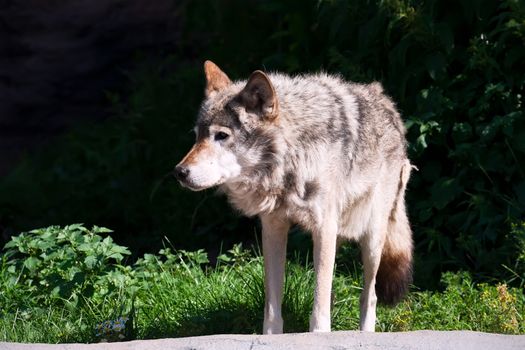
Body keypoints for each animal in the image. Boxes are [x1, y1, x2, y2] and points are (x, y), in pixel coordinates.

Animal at [176, 60, 414, 334]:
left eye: (222, 136)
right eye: (197, 136)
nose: (179, 172)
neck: (292, 158)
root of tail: (387, 103)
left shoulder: (323, 228)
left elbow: (320, 306)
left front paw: (319, 335)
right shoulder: (273, 229)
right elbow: (273, 305)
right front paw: (271, 336)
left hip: (372, 238)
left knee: (369, 295)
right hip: (338, 236)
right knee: (332, 290)